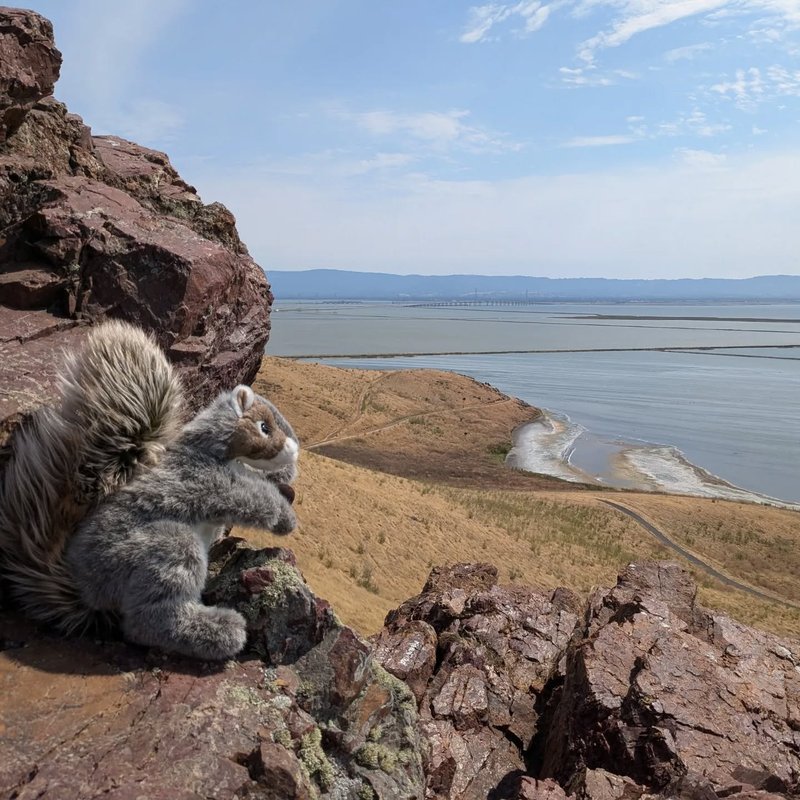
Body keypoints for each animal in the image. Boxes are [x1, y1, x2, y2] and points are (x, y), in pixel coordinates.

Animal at [0, 321, 299, 660]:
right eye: (264, 427)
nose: (295, 451)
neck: (216, 449)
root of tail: (80, 588)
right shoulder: (203, 478)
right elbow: (250, 497)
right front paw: (285, 518)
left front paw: (285, 476)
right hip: (165, 552)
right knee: (147, 621)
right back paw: (216, 631)